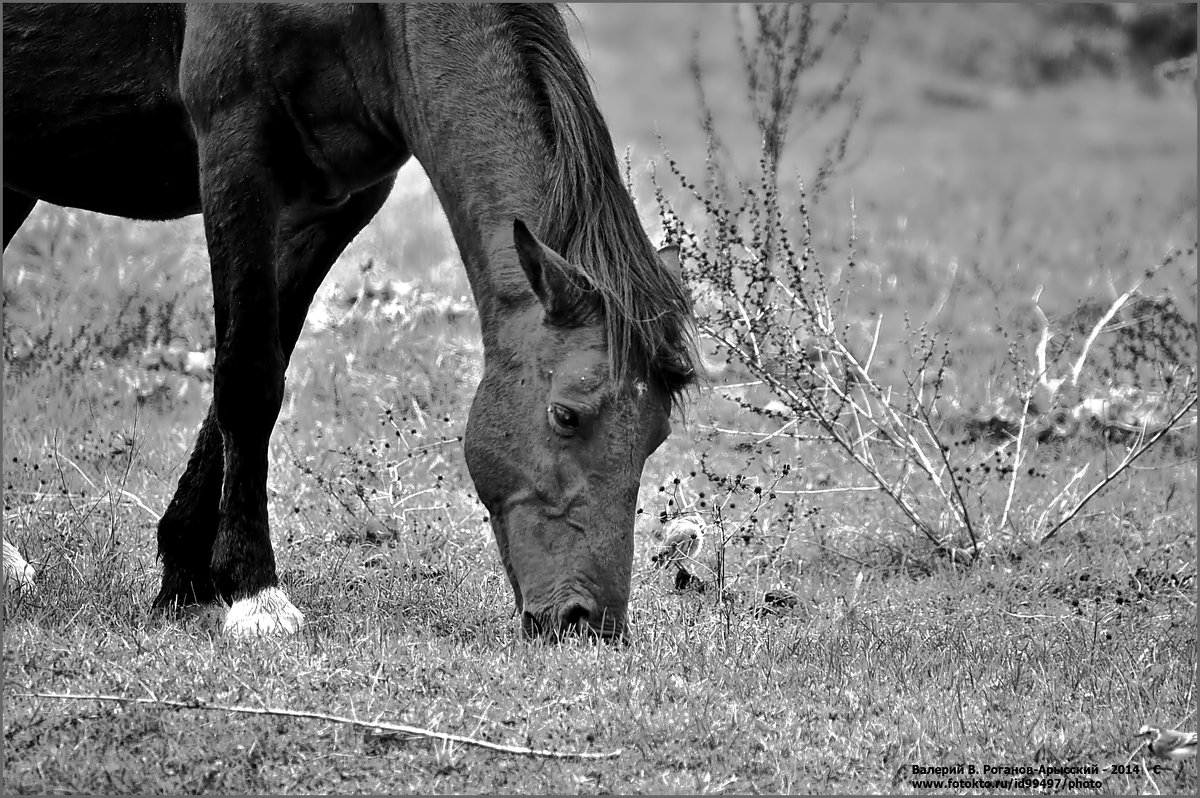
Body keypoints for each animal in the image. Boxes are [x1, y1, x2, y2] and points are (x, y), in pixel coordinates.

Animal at [4, 0, 700, 633]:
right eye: (565, 416)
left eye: (656, 435)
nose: (590, 621)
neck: (380, 16)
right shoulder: (236, 150)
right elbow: (248, 378)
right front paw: (255, 592)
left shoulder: (341, 200)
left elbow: (264, 363)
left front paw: (189, 575)